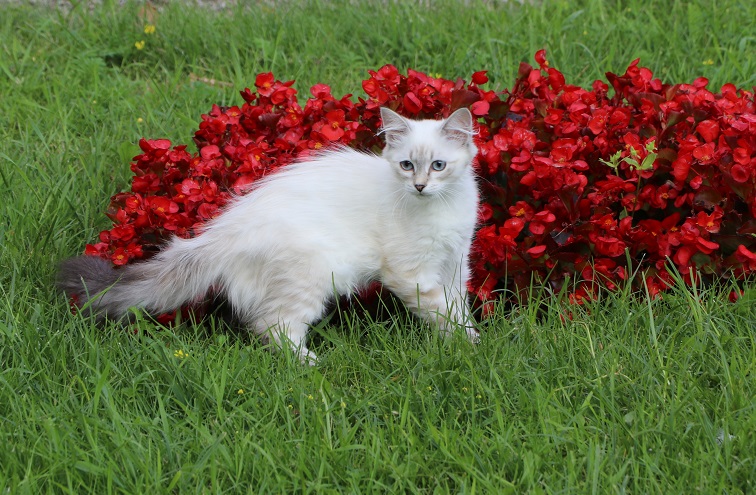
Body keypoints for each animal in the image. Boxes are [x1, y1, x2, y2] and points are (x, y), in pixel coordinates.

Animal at [60, 107, 484, 364]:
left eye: (439, 165)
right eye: (407, 165)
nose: (420, 186)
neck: (441, 207)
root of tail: (223, 231)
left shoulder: (455, 262)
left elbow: (457, 305)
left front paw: (468, 340)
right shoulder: (410, 273)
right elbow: (441, 310)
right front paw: (468, 344)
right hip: (311, 277)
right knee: (273, 327)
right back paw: (311, 365)